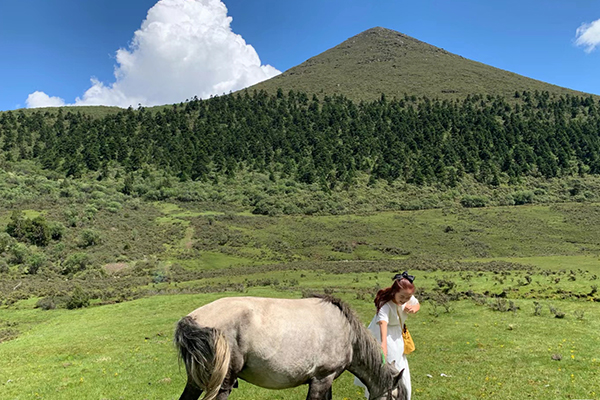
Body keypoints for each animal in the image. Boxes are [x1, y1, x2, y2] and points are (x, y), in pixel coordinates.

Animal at [173, 296, 408, 398]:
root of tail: (194, 319)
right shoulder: (321, 379)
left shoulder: (326, 380)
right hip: (224, 382)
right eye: (396, 397)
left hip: (197, 381)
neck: (348, 333)